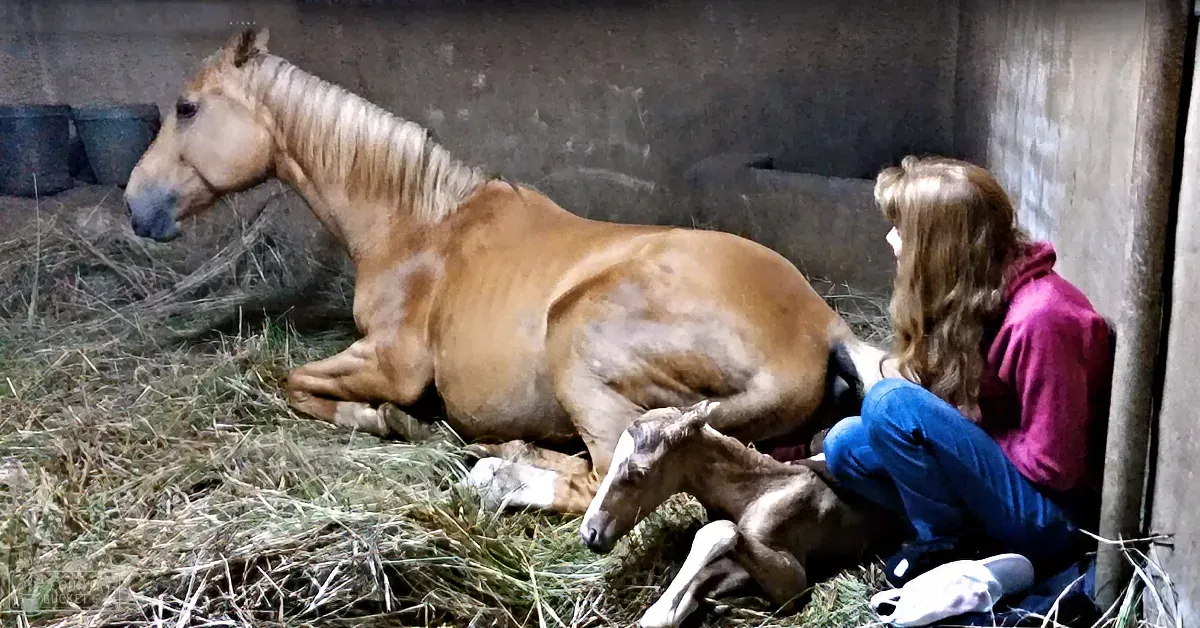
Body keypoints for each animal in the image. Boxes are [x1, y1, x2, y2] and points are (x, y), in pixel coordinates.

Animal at [124, 27, 888, 515]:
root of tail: (820, 326)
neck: (419, 227)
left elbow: (297, 383)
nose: (136, 206)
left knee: (597, 479)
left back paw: (496, 473)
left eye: (187, 108)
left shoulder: (391, 363)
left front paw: (388, 422)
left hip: (578, 344)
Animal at [579, 401, 891, 628]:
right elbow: (701, 580)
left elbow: (718, 531)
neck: (761, 491)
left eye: (638, 473)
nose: (589, 533)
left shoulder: (794, 582)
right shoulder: (735, 566)